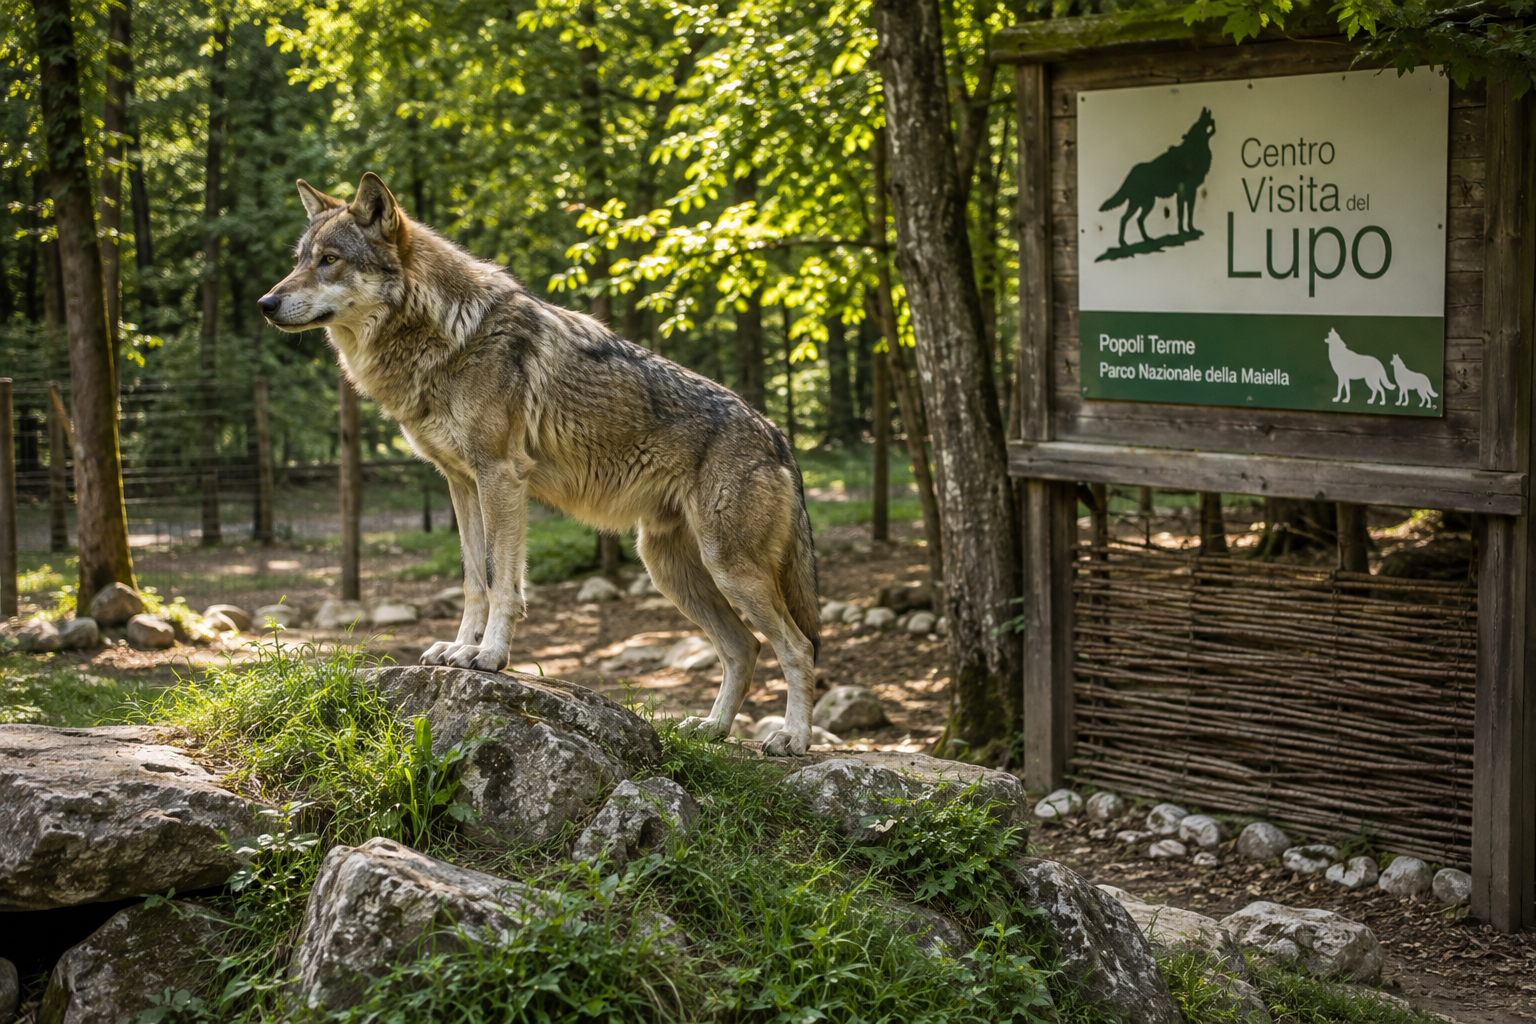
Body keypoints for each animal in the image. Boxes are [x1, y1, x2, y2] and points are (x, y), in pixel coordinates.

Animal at [257, 174, 822, 756]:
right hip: (671, 569)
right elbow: (473, 580)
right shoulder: (461, 483)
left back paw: (792, 738)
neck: (446, 333)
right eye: (300, 260)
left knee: (798, 648)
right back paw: (712, 729)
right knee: (744, 648)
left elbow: (501, 581)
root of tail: (779, 439)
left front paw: (488, 656)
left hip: (727, 569)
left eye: (329, 260)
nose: (265, 302)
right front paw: (458, 649)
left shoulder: (501, 476)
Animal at [1100, 107, 1216, 248]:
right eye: (1197, 124)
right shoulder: (1182, 192)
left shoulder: (1192, 191)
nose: (1205, 110)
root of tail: (1130, 173)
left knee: (1137, 219)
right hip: (1142, 203)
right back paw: (1124, 243)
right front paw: (1182, 232)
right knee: (1125, 218)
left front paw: (1191, 229)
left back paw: (1147, 239)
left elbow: (1189, 213)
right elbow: (1181, 213)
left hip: (1147, 203)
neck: (1193, 153)